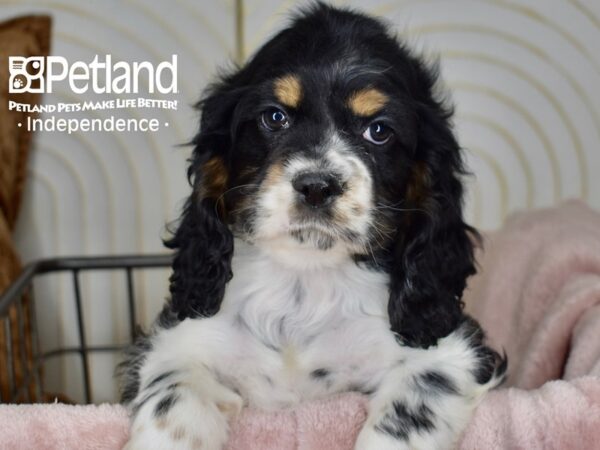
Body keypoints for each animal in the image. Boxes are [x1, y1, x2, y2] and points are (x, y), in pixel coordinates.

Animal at [122, 4, 506, 450]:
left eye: (379, 130)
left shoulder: (450, 354)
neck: (304, 277)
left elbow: (409, 411)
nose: (317, 186)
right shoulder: (177, 343)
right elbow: (173, 399)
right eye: (275, 117)